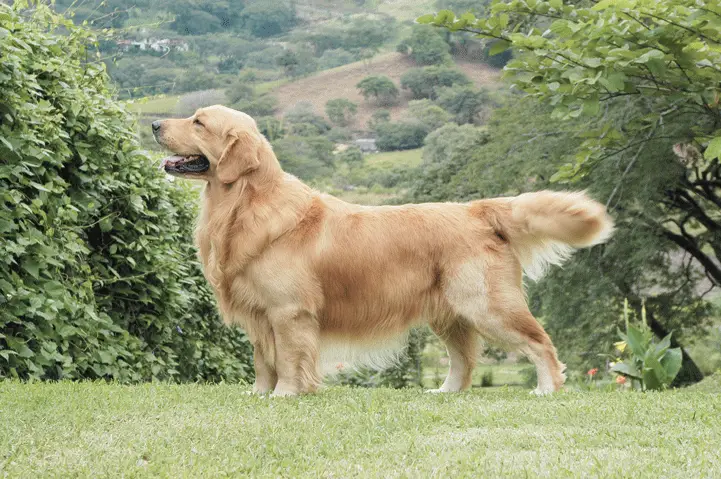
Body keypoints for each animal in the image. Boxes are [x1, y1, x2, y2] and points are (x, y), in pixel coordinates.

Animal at [153, 105, 612, 398]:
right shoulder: (258, 314)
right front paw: (259, 394)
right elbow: (263, 361)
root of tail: (477, 209)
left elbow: (288, 359)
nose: (155, 123)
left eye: (198, 122)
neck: (246, 204)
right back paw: (444, 392)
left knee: (540, 343)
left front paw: (285, 394)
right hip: (451, 313)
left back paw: (547, 389)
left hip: (486, 304)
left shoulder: (288, 312)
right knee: (462, 361)